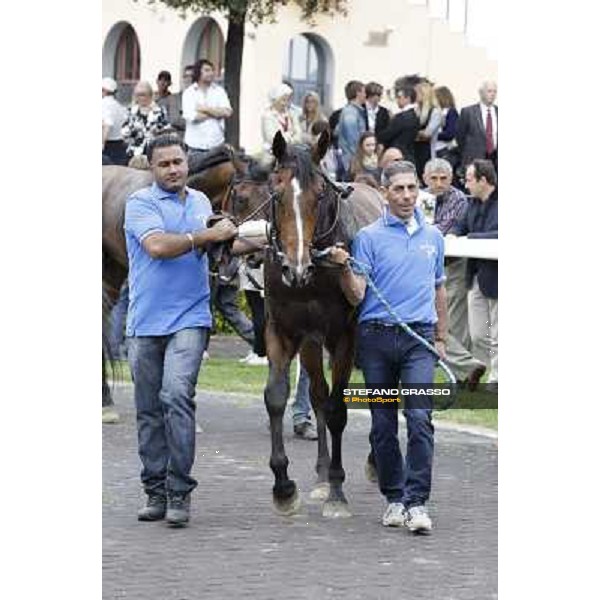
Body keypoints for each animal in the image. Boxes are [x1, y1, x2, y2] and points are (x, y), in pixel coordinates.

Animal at [260, 131, 382, 516]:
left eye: (319, 195)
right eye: (277, 193)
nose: (295, 268)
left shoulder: (346, 336)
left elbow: (339, 408)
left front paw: (337, 491)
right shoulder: (283, 330)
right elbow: (277, 397)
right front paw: (284, 487)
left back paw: (371, 464)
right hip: (312, 342)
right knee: (316, 394)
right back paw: (319, 474)